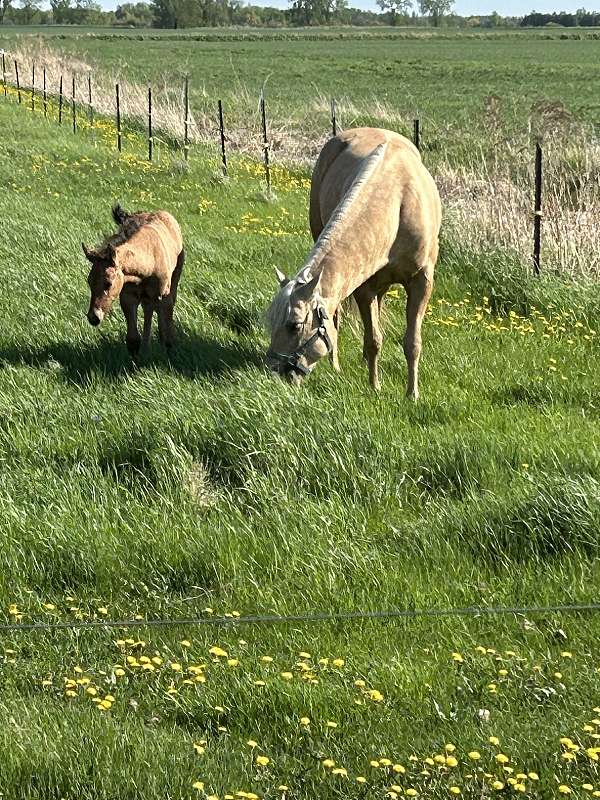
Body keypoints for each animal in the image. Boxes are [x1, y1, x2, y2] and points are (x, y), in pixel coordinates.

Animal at [82, 205, 184, 357]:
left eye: (108, 283)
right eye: (89, 282)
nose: (93, 317)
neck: (150, 259)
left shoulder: (163, 295)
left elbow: (164, 322)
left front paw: (168, 348)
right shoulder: (128, 297)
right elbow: (133, 339)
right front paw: (137, 359)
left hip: (174, 278)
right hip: (147, 297)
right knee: (148, 309)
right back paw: (147, 347)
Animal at [266, 127, 441, 400]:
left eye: (294, 326)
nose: (275, 374)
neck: (397, 201)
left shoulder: (421, 281)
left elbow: (412, 342)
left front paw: (412, 394)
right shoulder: (363, 287)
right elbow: (373, 339)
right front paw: (374, 386)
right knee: (341, 316)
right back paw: (336, 363)